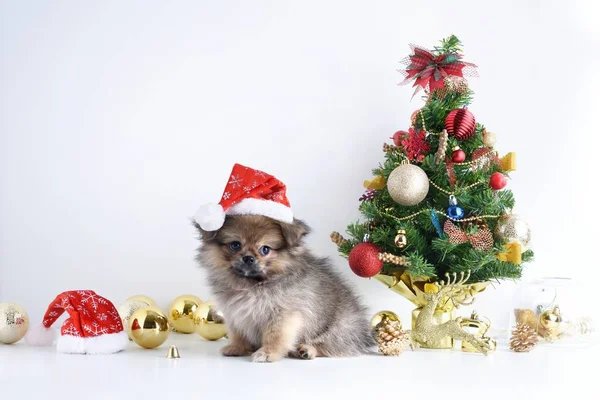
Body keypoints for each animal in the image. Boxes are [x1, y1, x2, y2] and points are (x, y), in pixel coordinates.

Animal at [196, 216, 376, 362]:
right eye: (235, 245)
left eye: (265, 249)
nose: (248, 258)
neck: (253, 285)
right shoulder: (235, 315)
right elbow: (239, 335)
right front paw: (237, 348)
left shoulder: (282, 315)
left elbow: (275, 337)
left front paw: (267, 353)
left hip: (340, 329)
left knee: (330, 345)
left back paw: (306, 350)